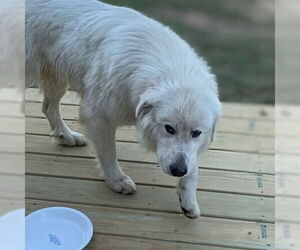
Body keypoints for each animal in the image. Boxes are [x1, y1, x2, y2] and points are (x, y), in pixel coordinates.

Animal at [25, 0, 221, 218]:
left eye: (196, 133)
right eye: (169, 128)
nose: (178, 170)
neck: (172, 70)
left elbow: (193, 167)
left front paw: (188, 199)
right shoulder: (99, 117)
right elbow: (109, 153)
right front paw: (117, 180)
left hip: (57, 75)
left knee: (48, 106)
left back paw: (65, 135)